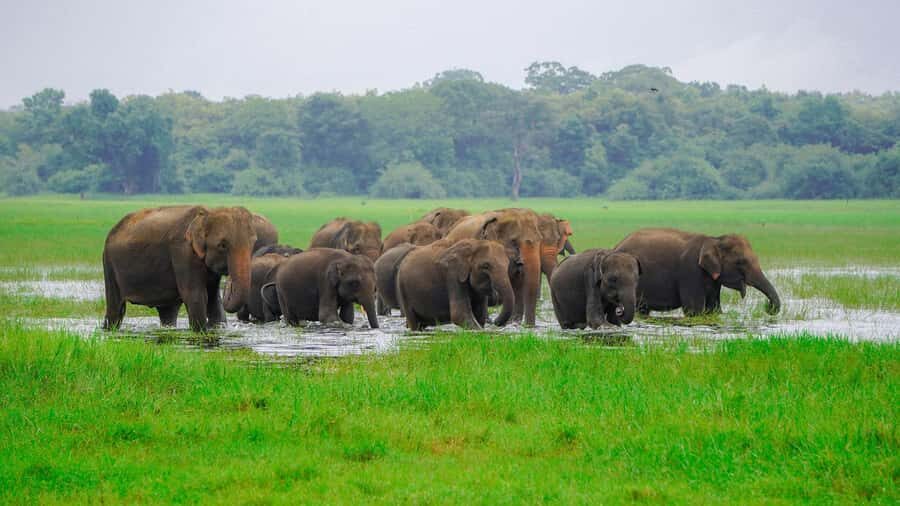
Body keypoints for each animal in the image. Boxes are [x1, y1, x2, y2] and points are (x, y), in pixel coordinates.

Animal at [102, 205, 256, 332]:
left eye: (253, 242)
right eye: (222, 245)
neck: (207, 213)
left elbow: (214, 299)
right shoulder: (183, 252)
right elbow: (196, 296)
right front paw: (201, 332)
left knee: (168, 311)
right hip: (109, 264)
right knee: (116, 308)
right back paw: (109, 329)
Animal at [614, 228, 781, 316]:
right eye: (741, 262)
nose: (768, 307)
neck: (714, 240)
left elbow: (714, 309)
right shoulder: (690, 272)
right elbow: (694, 310)